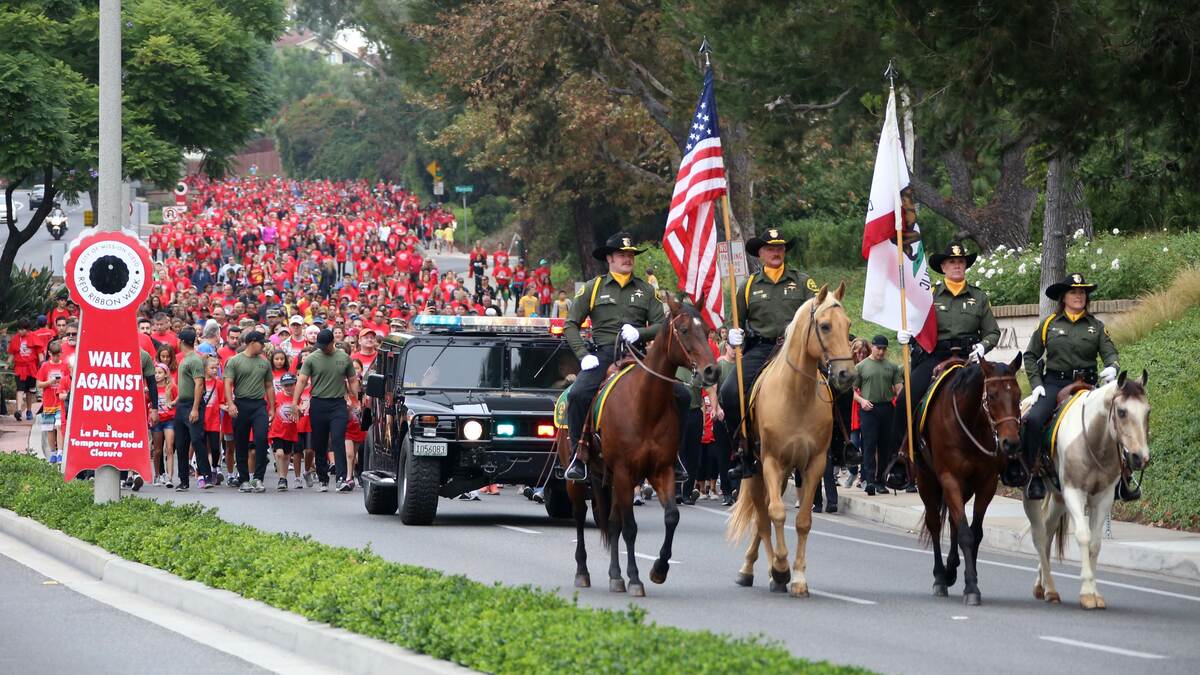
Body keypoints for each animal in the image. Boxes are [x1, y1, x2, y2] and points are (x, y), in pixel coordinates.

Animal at [556, 294, 715, 593]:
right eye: (684, 330)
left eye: (708, 332)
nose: (712, 371)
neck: (646, 405)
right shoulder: (624, 472)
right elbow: (630, 528)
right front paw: (634, 578)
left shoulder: (661, 470)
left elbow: (671, 517)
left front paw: (658, 569)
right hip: (579, 478)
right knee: (580, 516)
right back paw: (583, 571)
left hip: (607, 476)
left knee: (612, 522)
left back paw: (614, 575)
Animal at [724, 282, 859, 593]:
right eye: (824, 326)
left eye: (848, 325)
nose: (846, 375)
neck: (797, 395)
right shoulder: (771, 462)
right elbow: (776, 514)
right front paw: (781, 568)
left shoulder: (814, 464)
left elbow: (803, 521)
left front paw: (797, 577)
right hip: (755, 470)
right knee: (762, 517)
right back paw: (755, 569)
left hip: (786, 472)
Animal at [912, 355, 1027, 600]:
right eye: (991, 395)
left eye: (1018, 394)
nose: (1011, 443)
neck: (971, 423)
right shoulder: (949, 479)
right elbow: (966, 533)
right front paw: (971, 586)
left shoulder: (987, 483)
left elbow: (975, 533)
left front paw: (969, 578)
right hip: (926, 481)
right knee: (935, 524)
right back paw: (940, 577)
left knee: (954, 521)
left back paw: (951, 569)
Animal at [1022, 369, 1152, 607]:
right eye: (1121, 412)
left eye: (1147, 411)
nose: (1140, 458)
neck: (1093, 440)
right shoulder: (1074, 493)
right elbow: (1083, 536)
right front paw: (1086, 592)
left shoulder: (1103, 498)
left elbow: (1095, 543)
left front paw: (1094, 592)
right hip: (1033, 497)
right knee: (1039, 537)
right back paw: (1050, 588)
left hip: (1058, 498)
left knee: (1049, 531)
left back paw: (1043, 585)